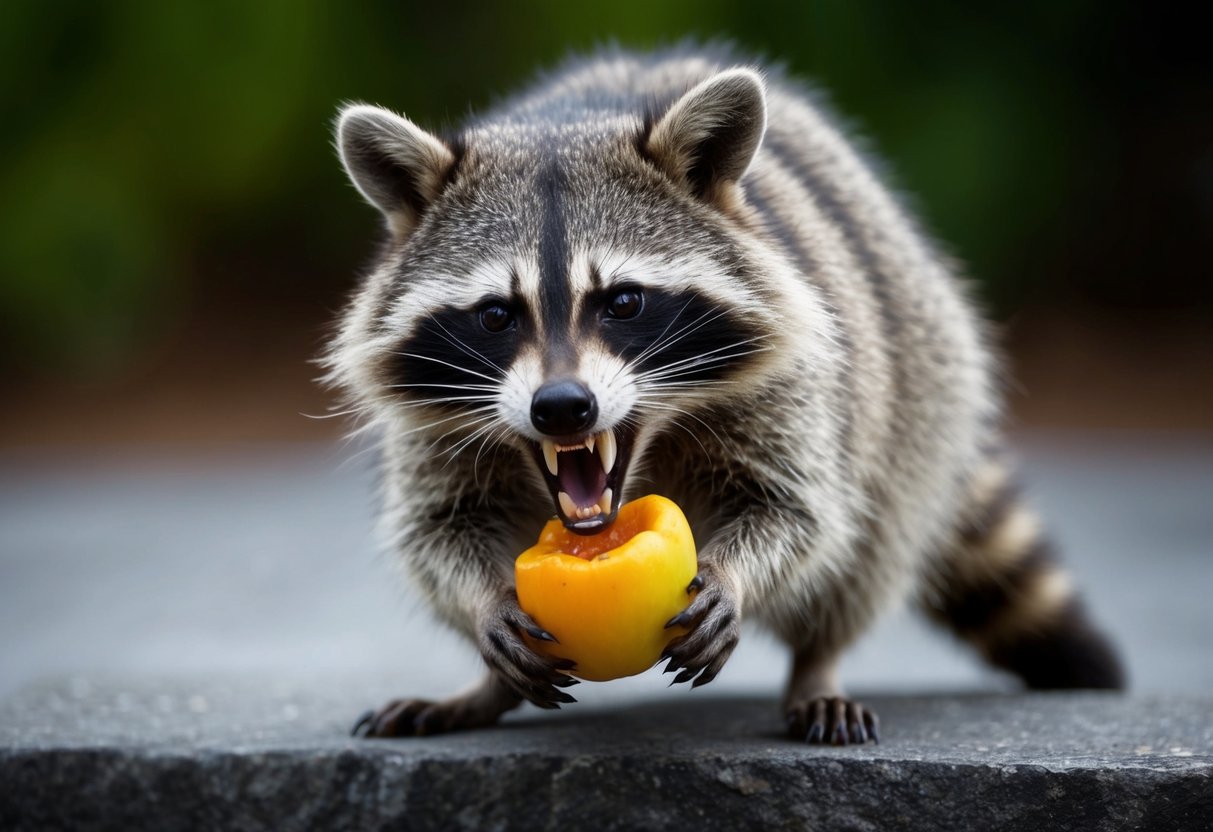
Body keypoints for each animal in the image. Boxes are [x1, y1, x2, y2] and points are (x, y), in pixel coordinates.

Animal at [328, 46, 1124, 744]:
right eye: (496, 315)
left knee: (868, 546)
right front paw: (485, 601)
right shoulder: (430, 429)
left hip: (920, 376)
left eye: (622, 302)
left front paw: (737, 576)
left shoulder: (795, 383)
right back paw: (487, 689)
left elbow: (798, 511)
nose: (561, 407)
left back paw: (817, 665)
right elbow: (437, 528)